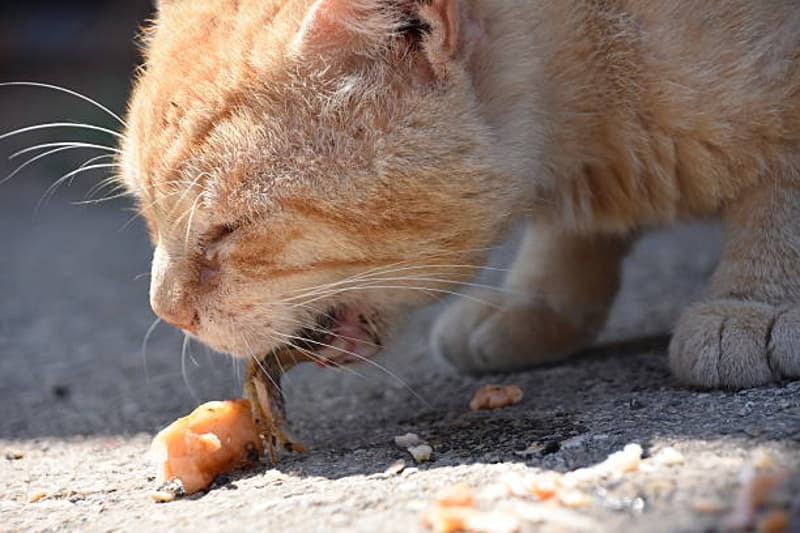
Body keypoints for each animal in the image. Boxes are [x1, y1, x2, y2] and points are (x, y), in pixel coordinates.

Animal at [119, 0, 800, 390]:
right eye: (147, 216)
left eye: (226, 230)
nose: (165, 312)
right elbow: (573, 230)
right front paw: (539, 302)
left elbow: (781, 203)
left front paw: (756, 303)